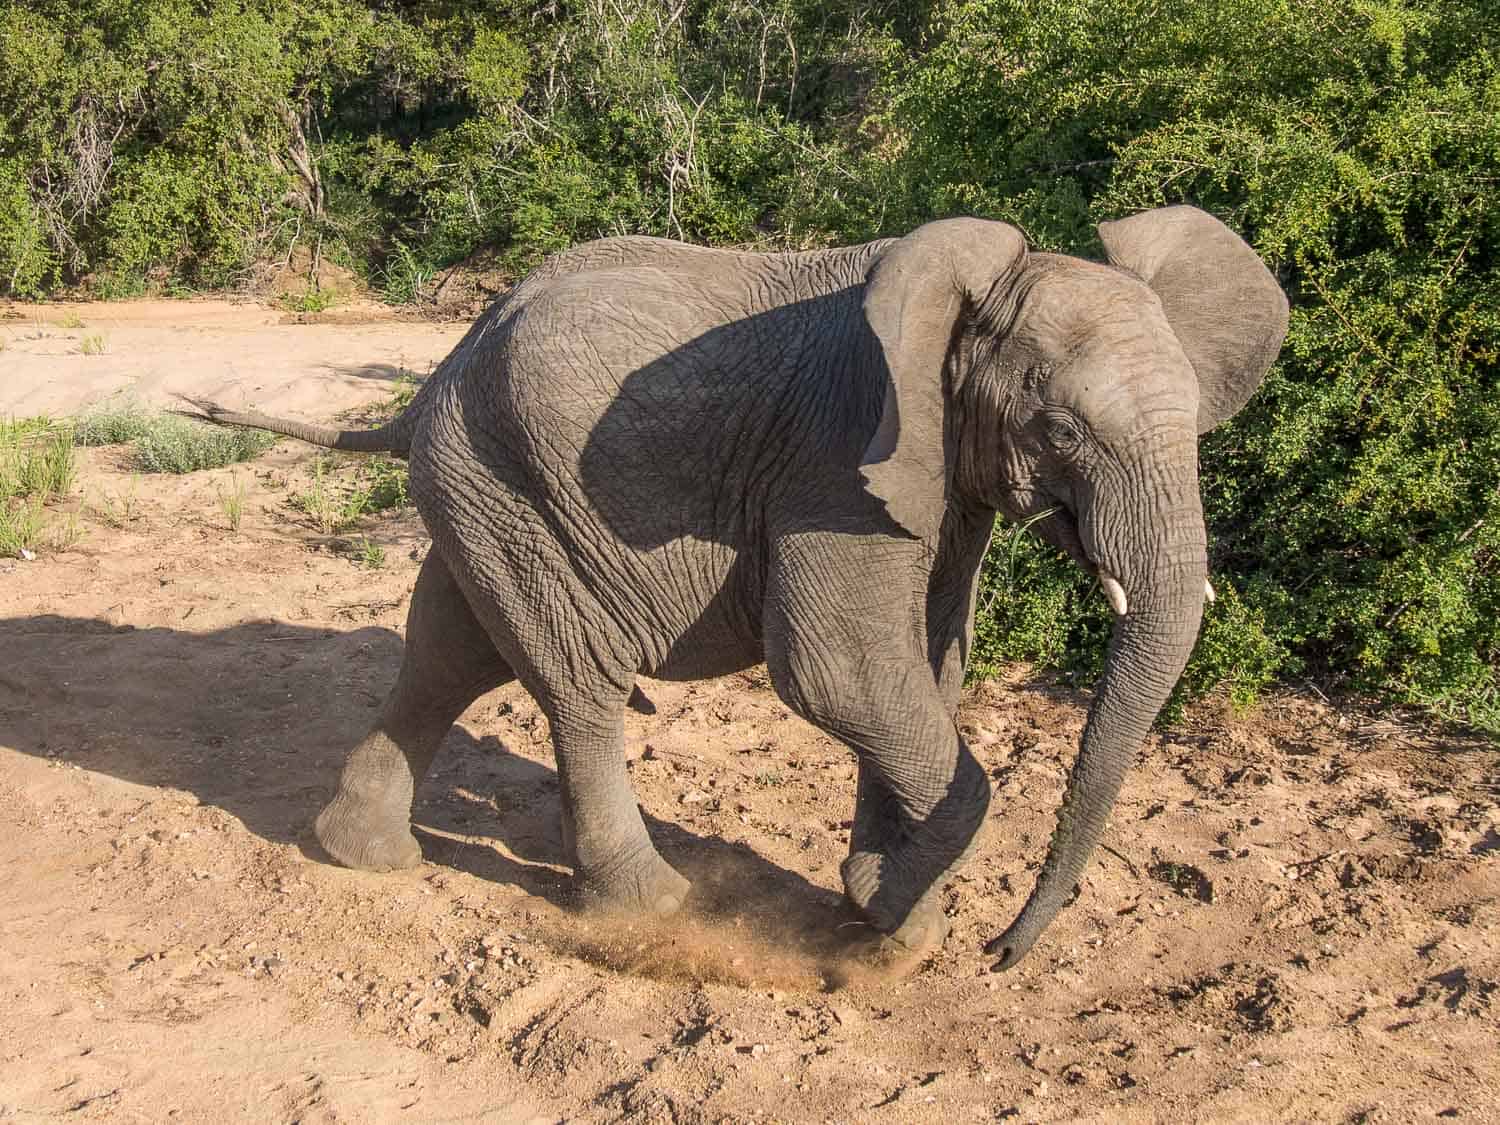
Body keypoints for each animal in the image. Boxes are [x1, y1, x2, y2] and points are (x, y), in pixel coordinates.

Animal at [190, 207, 1290, 972]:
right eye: (1062, 429)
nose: (1001, 955)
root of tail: (440, 366)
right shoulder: (836, 454)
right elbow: (840, 673)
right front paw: (895, 926)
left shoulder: (935, 478)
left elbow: (929, 665)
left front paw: (880, 902)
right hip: (505, 478)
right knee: (575, 682)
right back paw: (651, 908)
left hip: (483, 485)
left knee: (450, 651)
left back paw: (358, 855)